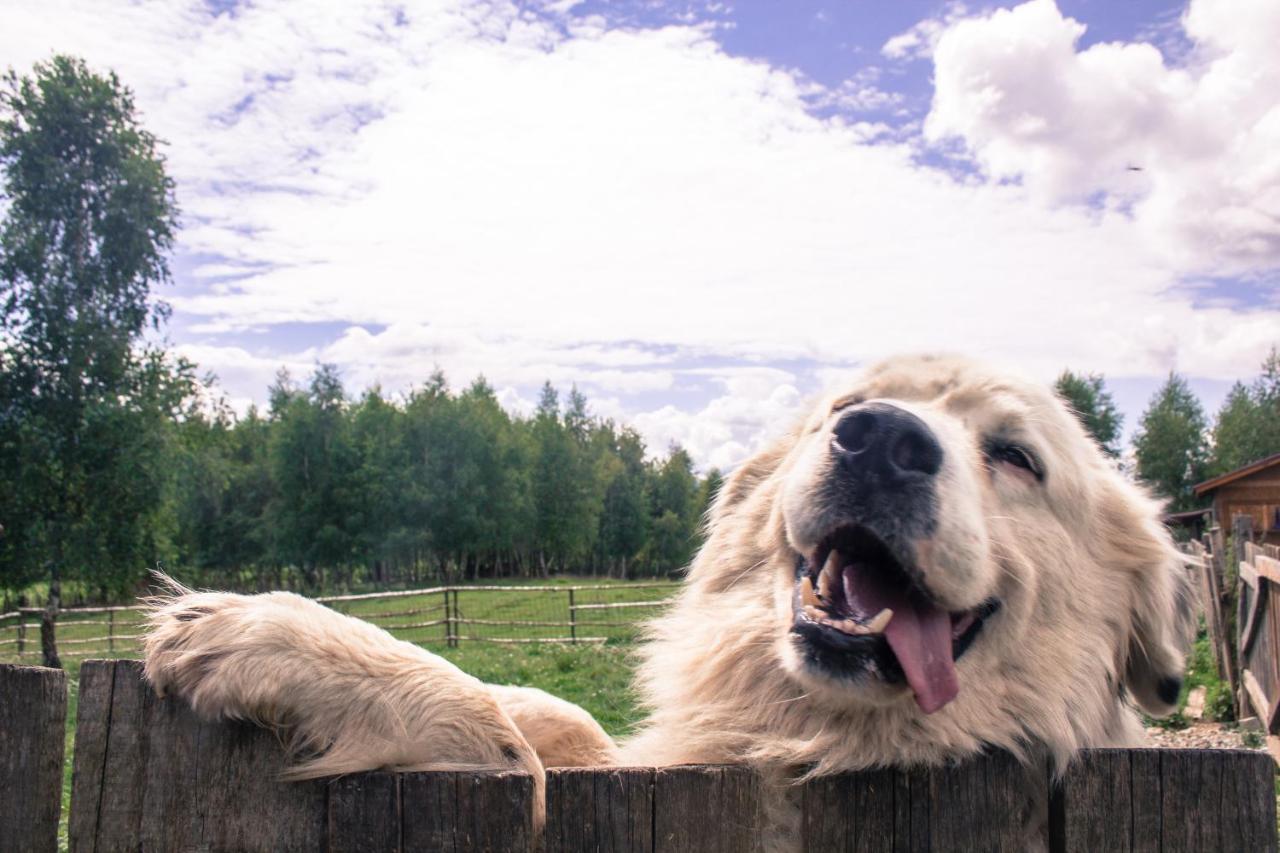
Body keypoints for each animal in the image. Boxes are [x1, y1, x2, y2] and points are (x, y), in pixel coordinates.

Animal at [142, 350, 1187, 845]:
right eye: (848, 405)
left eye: (1015, 455)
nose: (878, 439)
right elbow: (558, 720)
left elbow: (492, 730)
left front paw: (264, 631)